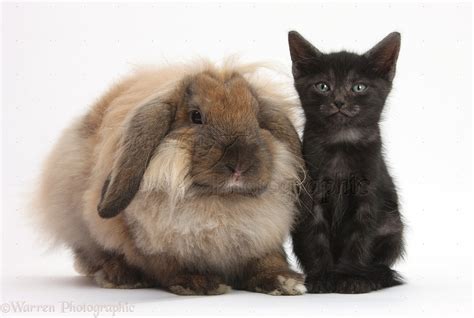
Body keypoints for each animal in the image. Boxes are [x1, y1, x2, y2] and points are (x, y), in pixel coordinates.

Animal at [34, 59, 308, 296]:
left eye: (257, 118)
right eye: (196, 116)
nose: (239, 164)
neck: (219, 201)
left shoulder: (263, 241)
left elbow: (268, 262)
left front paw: (287, 282)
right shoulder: (157, 248)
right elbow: (169, 266)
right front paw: (199, 283)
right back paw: (122, 277)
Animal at [288, 31, 404, 294]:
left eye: (359, 87)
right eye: (323, 86)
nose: (339, 101)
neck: (341, 144)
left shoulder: (368, 197)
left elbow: (359, 238)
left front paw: (350, 278)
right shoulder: (312, 195)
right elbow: (316, 237)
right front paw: (321, 278)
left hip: (392, 225)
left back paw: (373, 278)